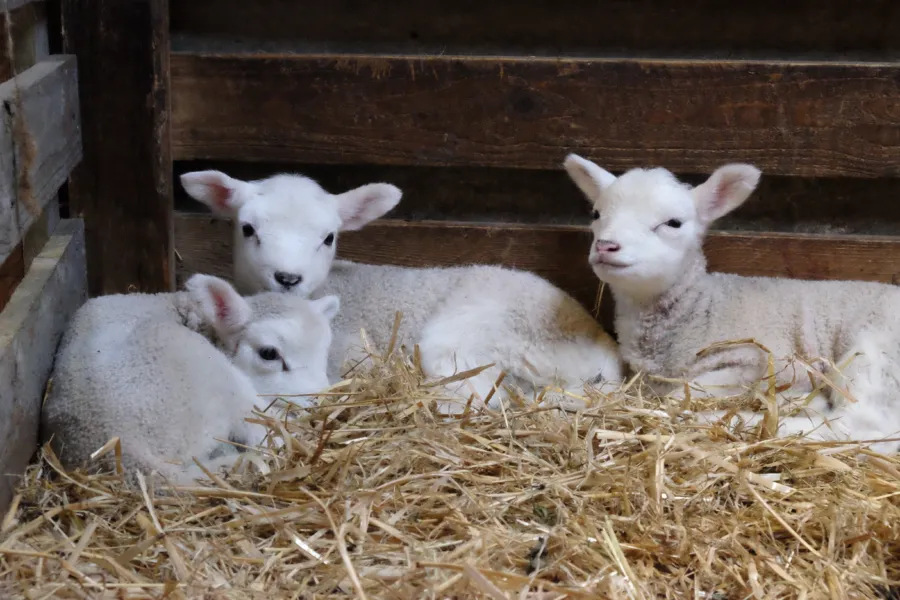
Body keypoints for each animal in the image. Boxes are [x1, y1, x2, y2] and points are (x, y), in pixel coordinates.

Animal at [38, 274, 342, 486]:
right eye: (269, 353)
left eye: (325, 350)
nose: (323, 402)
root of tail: (121, 447)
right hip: (216, 378)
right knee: (264, 436)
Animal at [564, 152, 900, 452]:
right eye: (596, 214)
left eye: (673, 223)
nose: (606, 246)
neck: (702, 307)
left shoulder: (760, 360)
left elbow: (678, 397)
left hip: (876, 358)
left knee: (864, 428)